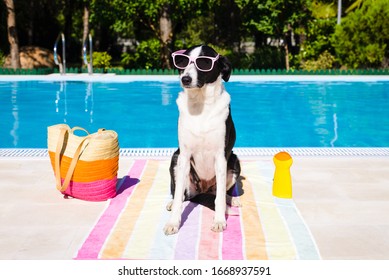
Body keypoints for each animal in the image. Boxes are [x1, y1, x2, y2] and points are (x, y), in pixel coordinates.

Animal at [163, 44, 239, 235]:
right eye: (182, 61)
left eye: (204, 63)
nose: (185, 79)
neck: (200, 104)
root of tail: (202, 190)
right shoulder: (183, 156)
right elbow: (178, 198)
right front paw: (173, 222)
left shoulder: (221, 157)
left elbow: (219, 198)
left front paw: (219, 220)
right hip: (175, 159)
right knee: (181, 194)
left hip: (234, 161)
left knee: (218, 193)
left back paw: (232, 200)